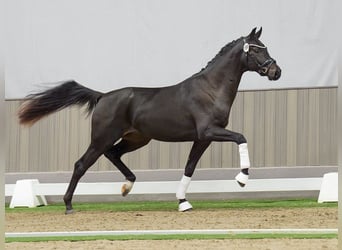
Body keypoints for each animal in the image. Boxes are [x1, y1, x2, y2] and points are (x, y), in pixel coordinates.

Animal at [18, 28, 280, 214]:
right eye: (256, 50)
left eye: (265, 48)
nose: (276, 72)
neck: (210, 90)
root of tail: (102, 96)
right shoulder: (209, 132)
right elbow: (241, 138)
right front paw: (242, 179)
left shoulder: (202, 139)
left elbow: (189, 167)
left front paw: (183, 202)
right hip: (102, 138)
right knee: (81, 164)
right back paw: (69, 205)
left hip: (136, 139)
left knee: (113, 154)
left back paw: (127, 186)